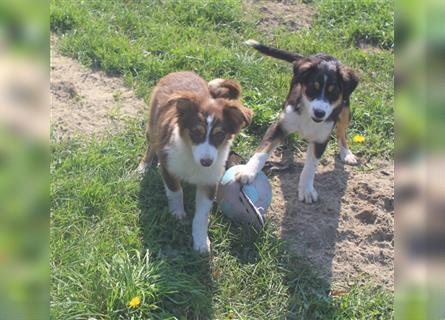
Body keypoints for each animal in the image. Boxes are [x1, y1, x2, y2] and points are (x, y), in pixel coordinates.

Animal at [137, 72, 251, 252]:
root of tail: (181, 72)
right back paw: (144, 166)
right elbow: (176, 192)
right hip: (153, 127)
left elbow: (202, 216)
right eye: (196, 132)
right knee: (151, 145)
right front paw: (177, 214)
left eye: (220, 135)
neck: (192, 158)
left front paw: (201, 242)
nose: (206, 162)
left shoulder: (209, 181)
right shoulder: (168, 166)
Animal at [236, 40, 358, 204]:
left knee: (341, 132)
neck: (308, 116)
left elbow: (310, 167)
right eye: (312, 88)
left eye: (333, 92)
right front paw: (248, 171)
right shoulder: (278, 127)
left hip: (345, 110)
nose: (319, 113)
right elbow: (262, 151)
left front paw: (306, 190)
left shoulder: (321, 139)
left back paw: (346, 153)